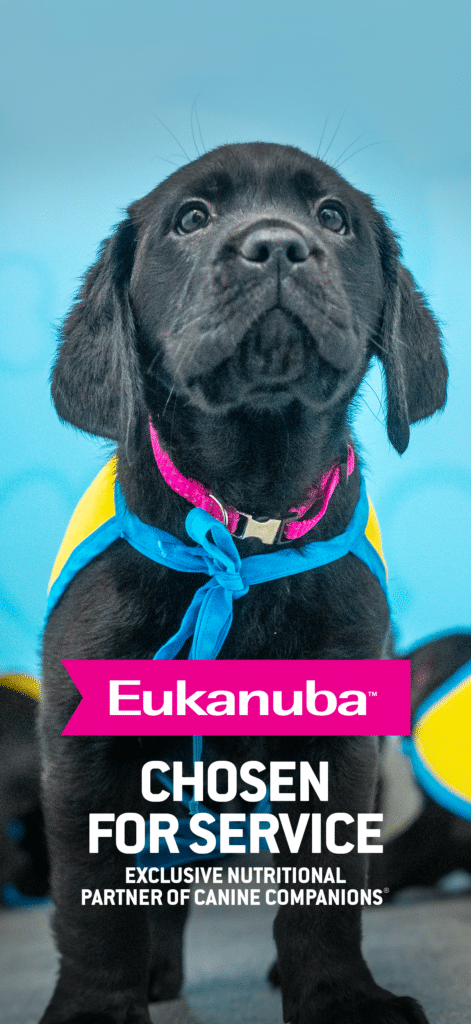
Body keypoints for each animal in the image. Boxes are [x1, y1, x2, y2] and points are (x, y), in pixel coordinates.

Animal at [39, 144, 444, 1024]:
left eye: (332, 217)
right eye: (191, 219)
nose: (278, 246)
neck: (243, 522)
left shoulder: (337, 737)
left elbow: (325, 890)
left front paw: (337, 995)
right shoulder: (88, 739)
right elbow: (93, 901)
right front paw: (94, 1004)